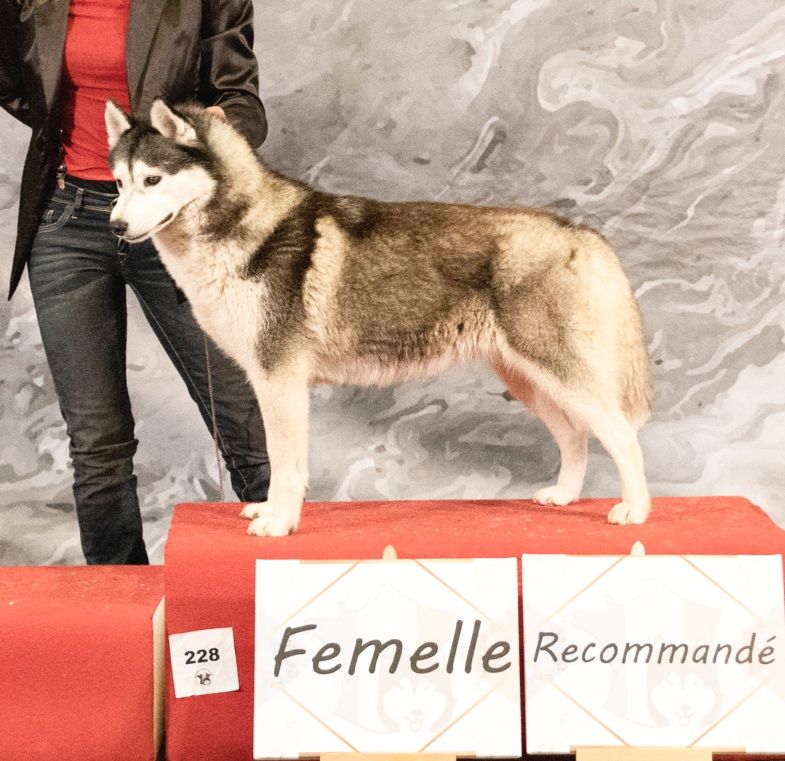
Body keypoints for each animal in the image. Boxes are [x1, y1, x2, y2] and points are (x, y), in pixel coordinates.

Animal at [104, 99, 652, 537]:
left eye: (153, 179)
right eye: (119, 183)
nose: (115, 226)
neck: (242, 227)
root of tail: (580, 232)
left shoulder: (280, 380)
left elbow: (285, 463)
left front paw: (279, 523)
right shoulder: (267, 381)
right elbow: (281, 462)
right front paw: (270, 511)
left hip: (558, 374)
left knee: (621, 434)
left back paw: (636, 510)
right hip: (528, 379)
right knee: (575, 436)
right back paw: (564, 495)